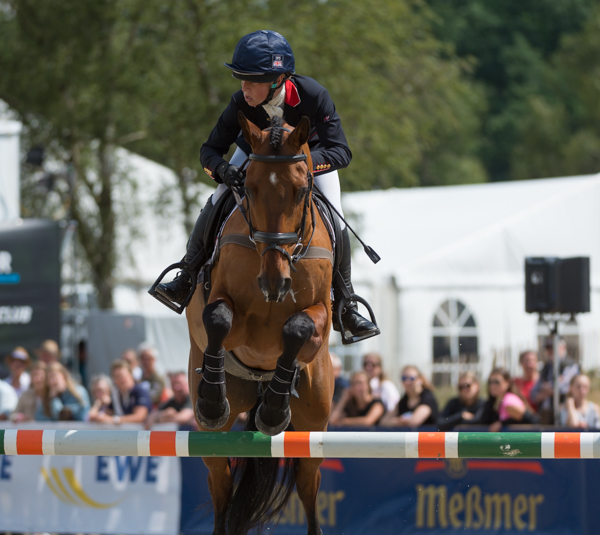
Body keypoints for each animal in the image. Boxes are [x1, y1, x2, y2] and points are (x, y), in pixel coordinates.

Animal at [186, 112, 335, 535]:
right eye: (248, 188)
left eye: (301, 191)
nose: (274, 282)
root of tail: (256, 386)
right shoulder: (227, 312)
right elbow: (218, 319)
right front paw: (212, 400)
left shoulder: (320, 317)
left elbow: (298, 329)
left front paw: (272, 412)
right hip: (212, 437)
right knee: (221, 485)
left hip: (314, 424)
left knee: (308, 486)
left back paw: (273, 402)